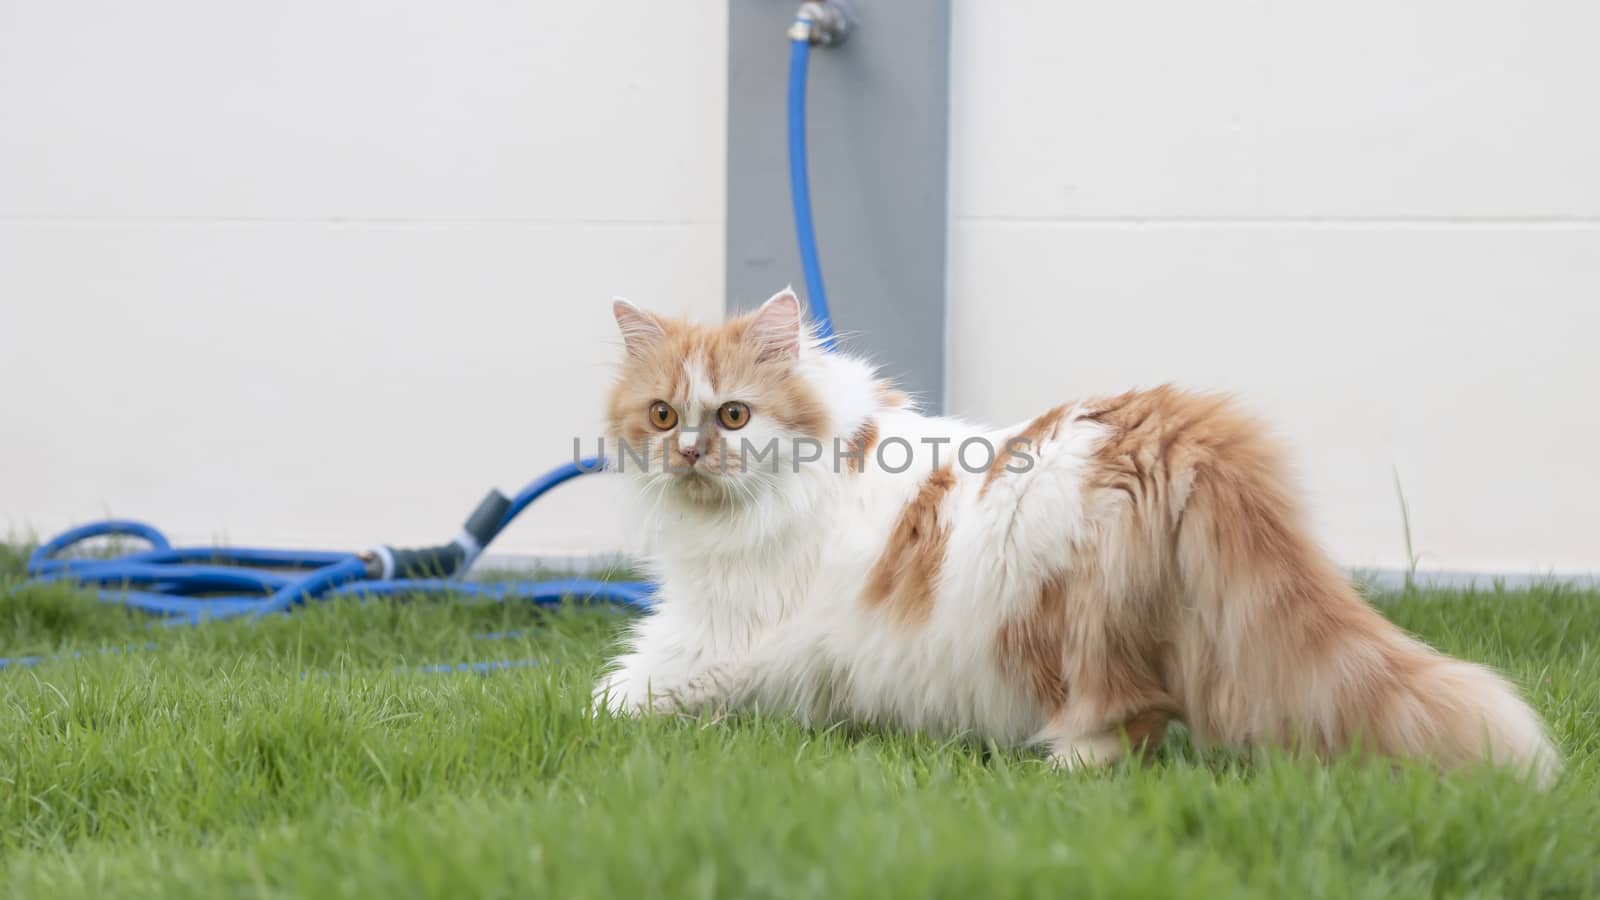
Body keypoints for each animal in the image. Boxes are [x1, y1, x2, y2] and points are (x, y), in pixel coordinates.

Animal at [595, 291, 1555, 781]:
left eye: (733, 414)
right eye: (662, 414)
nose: (689, 452)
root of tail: (1160, 422)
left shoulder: (717, 633)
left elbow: (618, 692)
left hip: (1067, 617)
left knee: (1123, 719)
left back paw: (1056, 773)